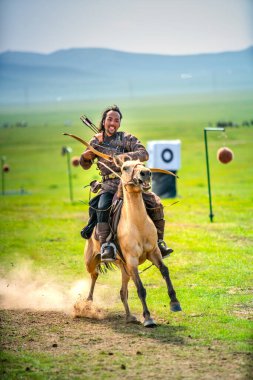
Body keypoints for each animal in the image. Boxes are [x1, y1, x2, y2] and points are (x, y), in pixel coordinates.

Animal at [84, 157, 181, 326]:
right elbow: (140, 288)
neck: (137, 223)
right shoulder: (132, 260)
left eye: (142, 164)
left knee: (123, 292)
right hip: (91, 260)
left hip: (124, 268)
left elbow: (165, 270)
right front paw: (148, 318)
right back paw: (87, 304)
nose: (146, 173)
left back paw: (129, 316)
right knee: (94, 274)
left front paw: (174, 302)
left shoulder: (154, 252)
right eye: (125, 167)